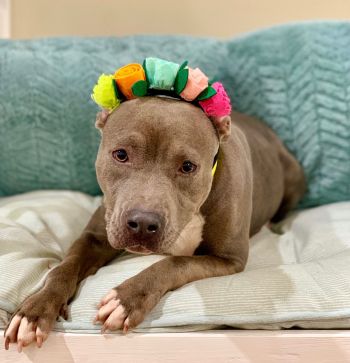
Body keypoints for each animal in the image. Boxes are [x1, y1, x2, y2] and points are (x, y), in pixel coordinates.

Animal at [4, 95, 304, 352]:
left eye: (188, 166)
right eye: (121, 154)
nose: (142, 223)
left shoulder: (229, 259)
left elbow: (174, 263)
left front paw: (125, 299)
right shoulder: (95, 237)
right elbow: (63, 268)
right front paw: (35, 310)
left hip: (295, 175)